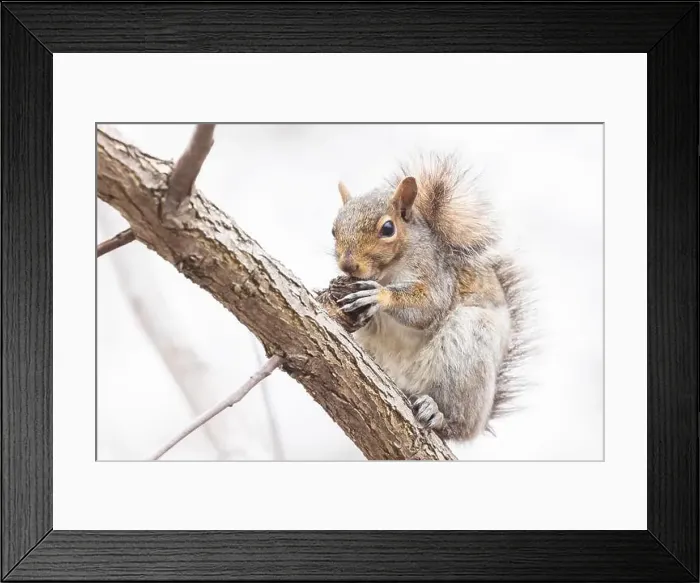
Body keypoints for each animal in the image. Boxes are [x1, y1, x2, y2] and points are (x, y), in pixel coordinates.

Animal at [327, 153, 532, 442]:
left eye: (387, 228)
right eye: (333, 230)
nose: (347, 265)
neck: (388, 272)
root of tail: (481, 420)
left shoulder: (437, 276)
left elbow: (428, 307)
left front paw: (379, 296)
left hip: (467, 352)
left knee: (456, 422)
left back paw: (438, 413)